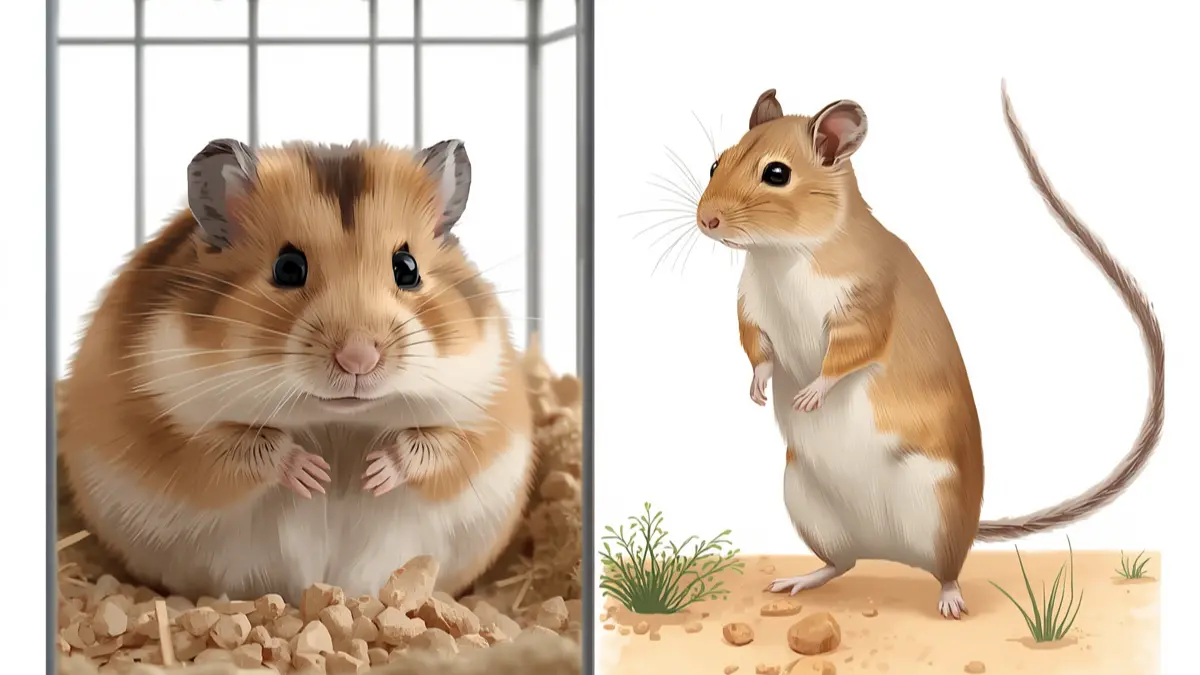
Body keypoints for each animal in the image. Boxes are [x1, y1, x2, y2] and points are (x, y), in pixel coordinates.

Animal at [58, 138, 536, 605]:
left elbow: (433, 448)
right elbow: (245, 447)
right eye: (288, 268)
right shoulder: (172, 427)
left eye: (407, 268)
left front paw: (372, 473)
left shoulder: (480, 418)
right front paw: (315, 475)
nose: (358, 358)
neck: (338, 419)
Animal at [695, 85, 1164, 619]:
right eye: (716, 162)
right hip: (807, 504)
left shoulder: (863, 311)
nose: (705, 220)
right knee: (841, 564)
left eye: (776, 174)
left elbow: (845, 358)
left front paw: (810, 396)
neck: (784, 253)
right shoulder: (751, 312)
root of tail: (889, 550)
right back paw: (800, 579)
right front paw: (757, 391)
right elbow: (759, 353)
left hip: (937, 507)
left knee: (947, 569)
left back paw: (951, 601)